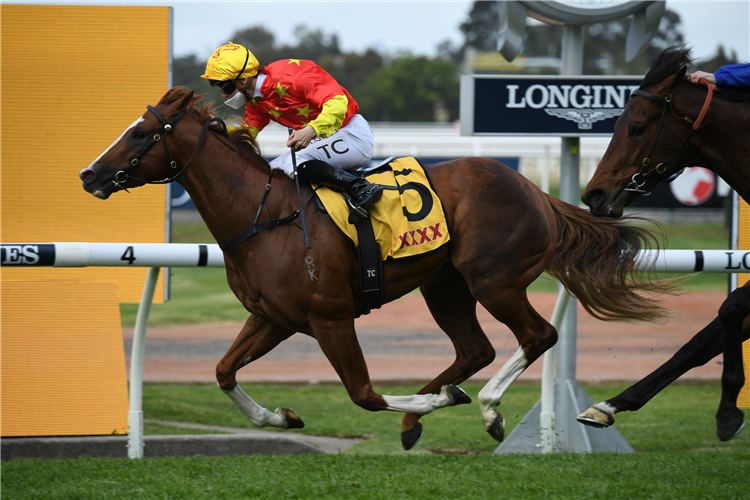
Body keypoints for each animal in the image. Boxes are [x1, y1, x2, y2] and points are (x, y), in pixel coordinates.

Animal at [82, 89, 668, 450]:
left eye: (142, 133)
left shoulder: (331, 318)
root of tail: (535, 191)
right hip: (445, 285)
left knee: (537, 335)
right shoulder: (274, 318)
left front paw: (438, 399)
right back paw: (417, 420)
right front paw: (281, 417)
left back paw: (485, 407)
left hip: (493, 280)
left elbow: (364, 394)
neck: (265, 216)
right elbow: (224, 371)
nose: (90, 174)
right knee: (475, 349)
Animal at [580, 46, 750, 438]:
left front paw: (728, 409)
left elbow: (730, 308)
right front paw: (610, 405)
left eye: (638, 128)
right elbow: (700, 341)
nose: (593, 194)